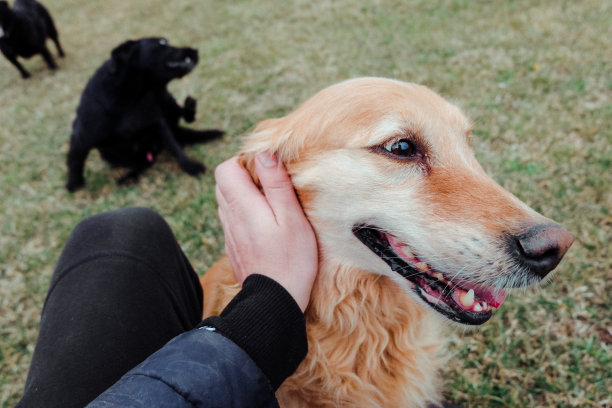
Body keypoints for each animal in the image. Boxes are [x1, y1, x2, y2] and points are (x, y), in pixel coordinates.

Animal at [65, 38, 224, 191]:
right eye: (162, 43)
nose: (195, 50)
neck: (132, 98)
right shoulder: (81, 137)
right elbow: (75, 160)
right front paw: (74, 183)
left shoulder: (158, 123)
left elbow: (175, 148)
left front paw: (190, 166)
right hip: (113, 154)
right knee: (145, 161)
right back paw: (129, 177)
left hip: (165, 98)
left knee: (182, 117)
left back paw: (190, 107)